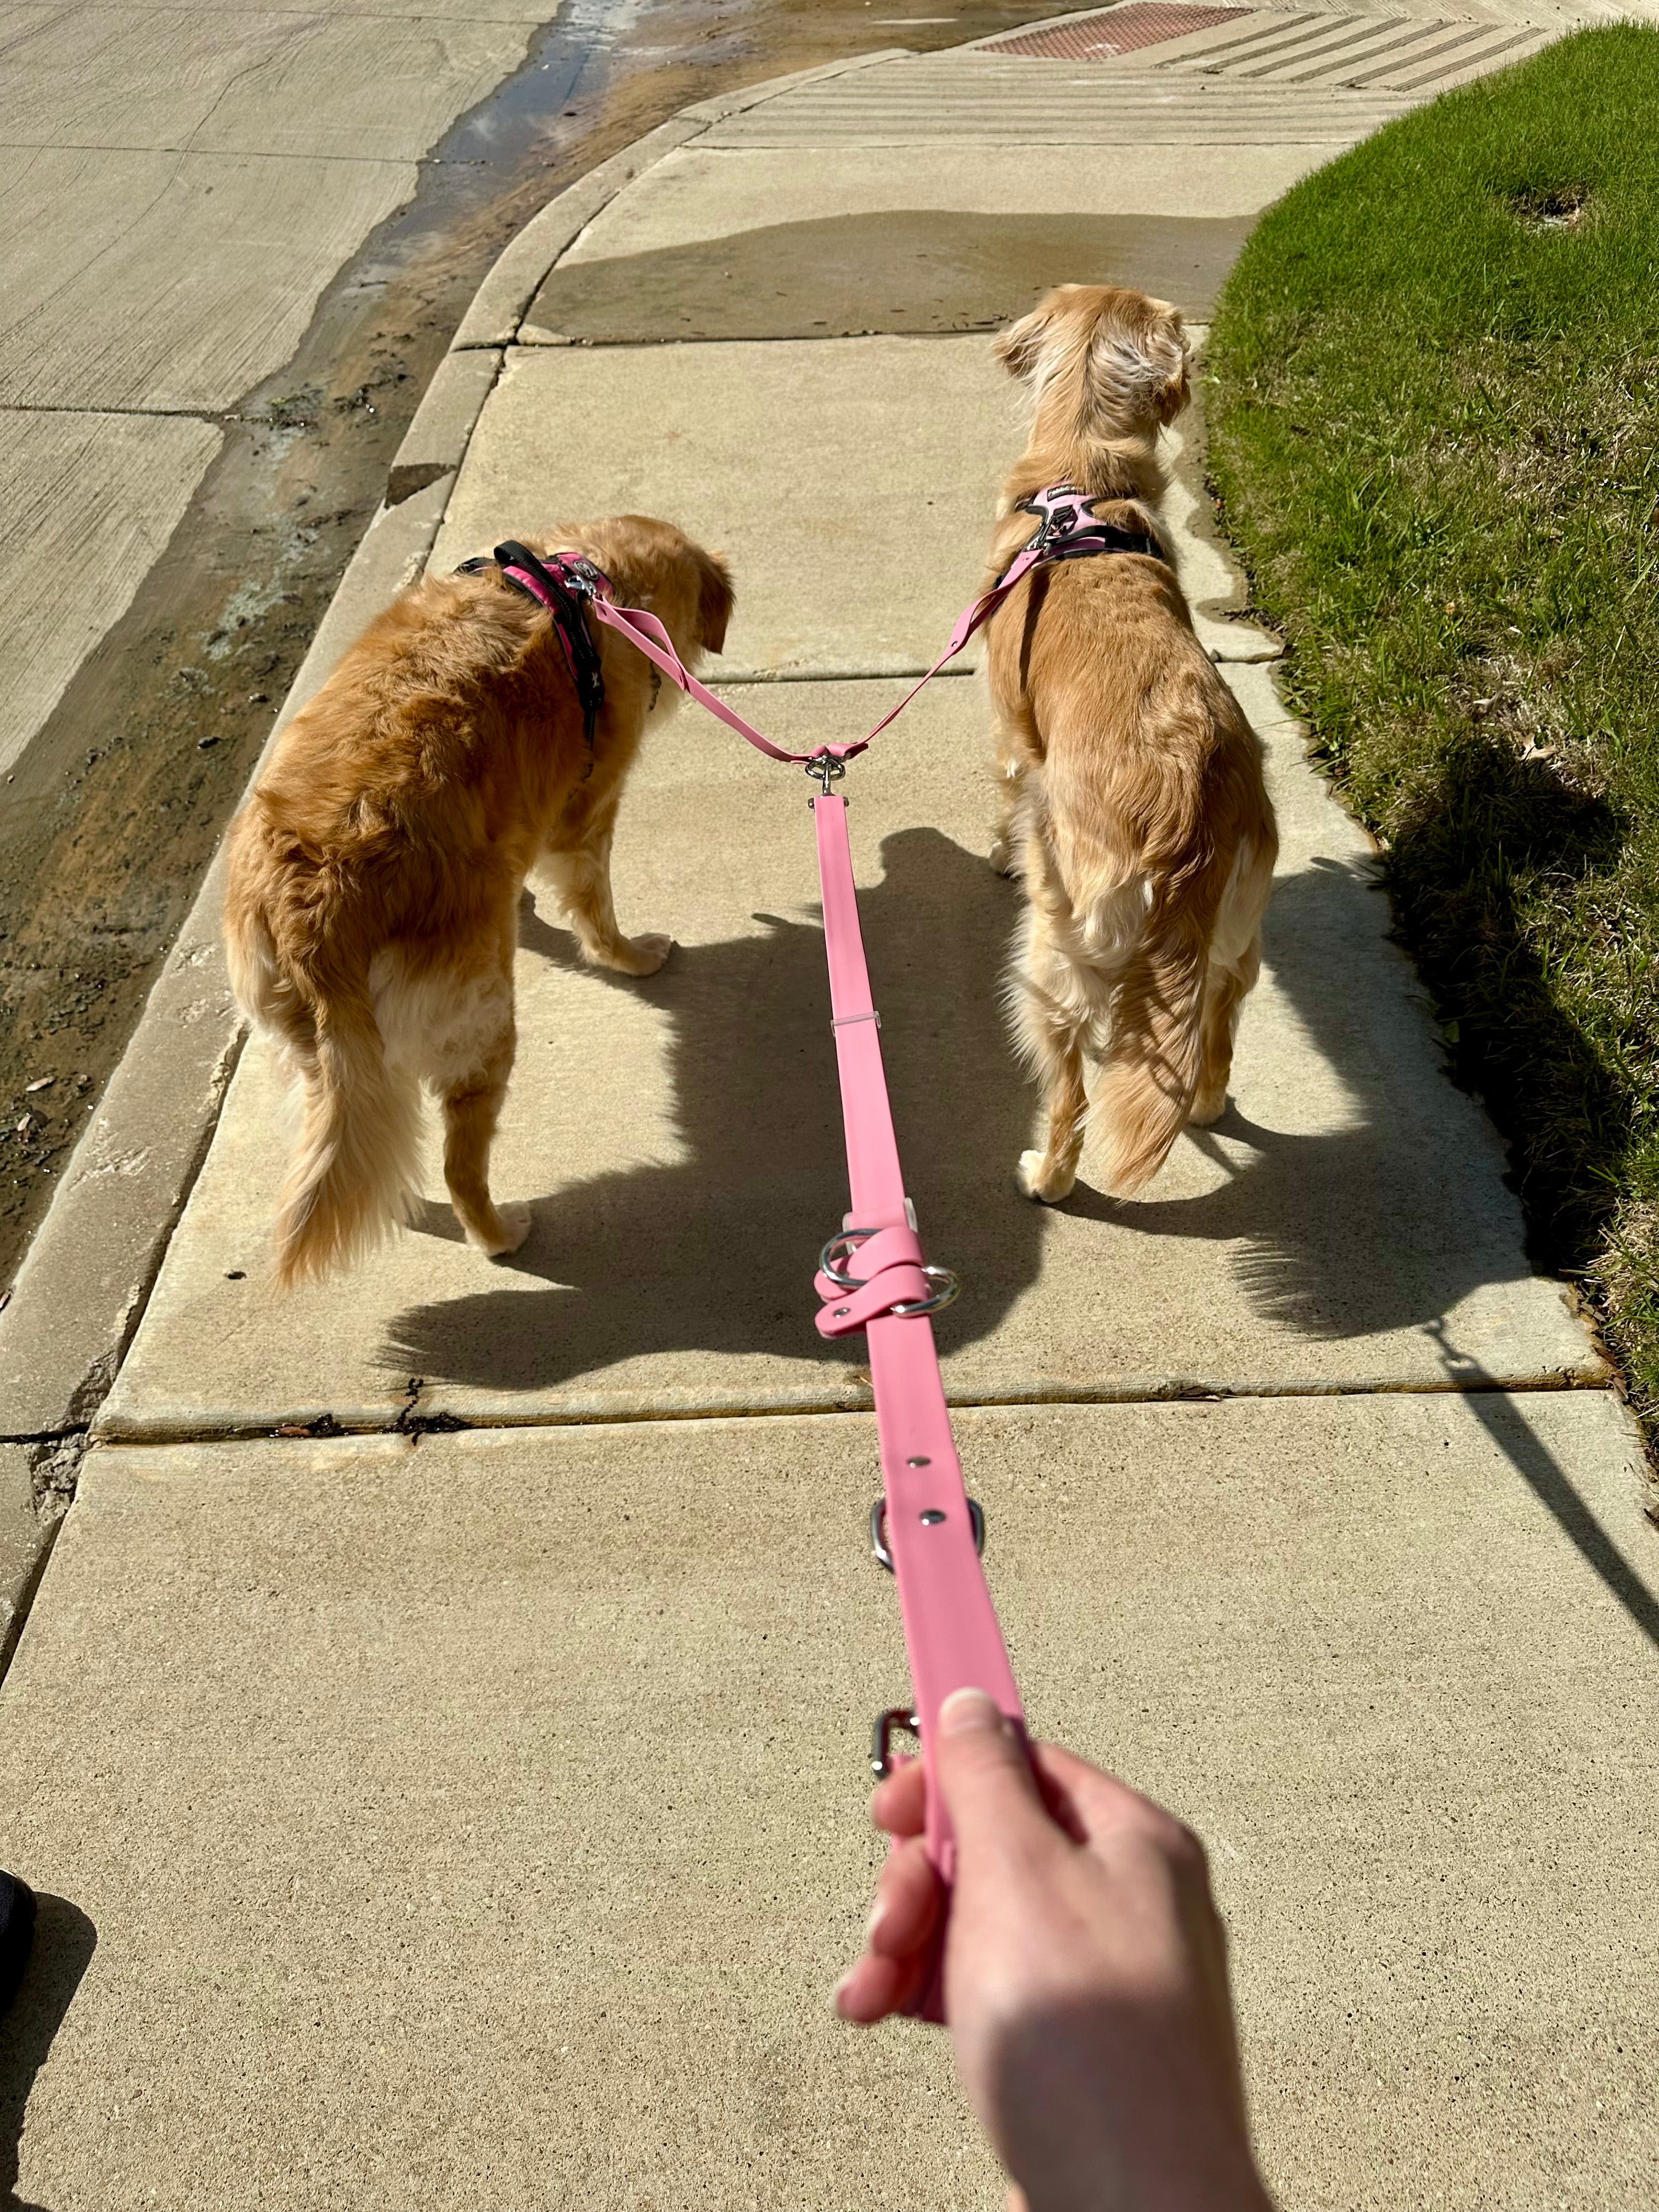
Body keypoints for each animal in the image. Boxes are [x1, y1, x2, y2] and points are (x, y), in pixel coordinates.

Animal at [224, 515, 730, 1291]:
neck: (586, 585)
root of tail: (313, 915)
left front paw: (523, 903)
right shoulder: (585, 814)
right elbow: (597, 909)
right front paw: (631, 957)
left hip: (322, 1060)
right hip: (484, 1023)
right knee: (459, 1167)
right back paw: (500, 1235)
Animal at [986, 290, 1283, 1212]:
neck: (1084, 484)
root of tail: (1185, 808)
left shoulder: (1011, 727)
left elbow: (1005, 787)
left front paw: (998, 852)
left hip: (1055, 954)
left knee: (1071, 1092)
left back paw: (1047, 1176)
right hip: (1239, 929)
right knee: (1218, 1022)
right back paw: (1210, 1103)